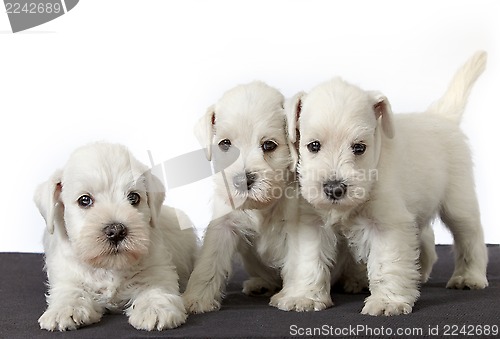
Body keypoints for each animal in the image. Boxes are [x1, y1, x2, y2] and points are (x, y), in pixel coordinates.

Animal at [33, 143, 196, 332]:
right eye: (84, 200)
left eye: (134, 197)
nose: (116, 231)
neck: (109, 266)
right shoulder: (67, 274)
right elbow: (71, 290)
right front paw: (65, 310)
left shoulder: (157, 267)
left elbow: (155, 287)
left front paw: (155, 309)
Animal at [286, 51, 488, 318]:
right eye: (313, 145)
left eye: (359, 147)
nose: (334, 188)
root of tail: (442, 117)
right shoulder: (311, 221)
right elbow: (308, 261)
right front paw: (304, 296)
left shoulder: (387, 223)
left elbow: (387, 263)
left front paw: (387, 302)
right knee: (426, 238)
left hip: (458, 203)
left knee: (470, 237)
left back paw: (469, 276)